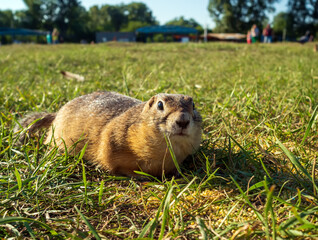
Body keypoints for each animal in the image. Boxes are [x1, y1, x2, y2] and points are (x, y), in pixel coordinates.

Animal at [15, 91, 201, 176]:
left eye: (193, 106)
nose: (183, 120)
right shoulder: (112, 141)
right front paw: (137, 175)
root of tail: (56, 114)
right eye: (160, 105)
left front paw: (177, 172)